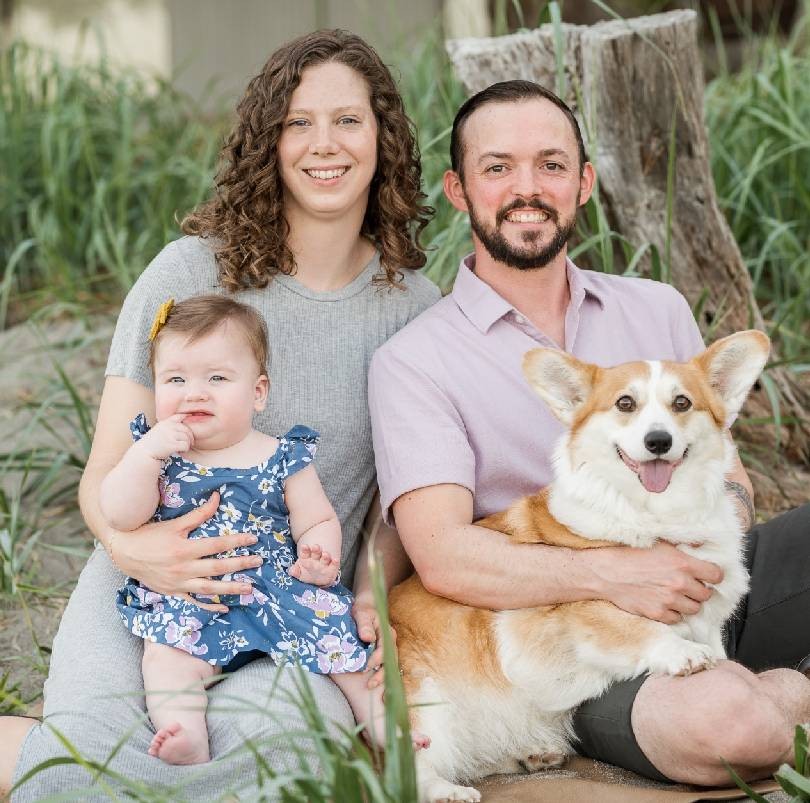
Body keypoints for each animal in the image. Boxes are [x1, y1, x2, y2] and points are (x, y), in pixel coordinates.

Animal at [388, 332, 768, 803]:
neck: (657, 514)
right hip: (421, 699)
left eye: (682, 403)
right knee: (407, 767)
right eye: (625, 403)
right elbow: (632, 625)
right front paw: (680, 651)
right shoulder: (567, 612)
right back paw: (446, 790)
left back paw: (531, 754)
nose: (658, 441)